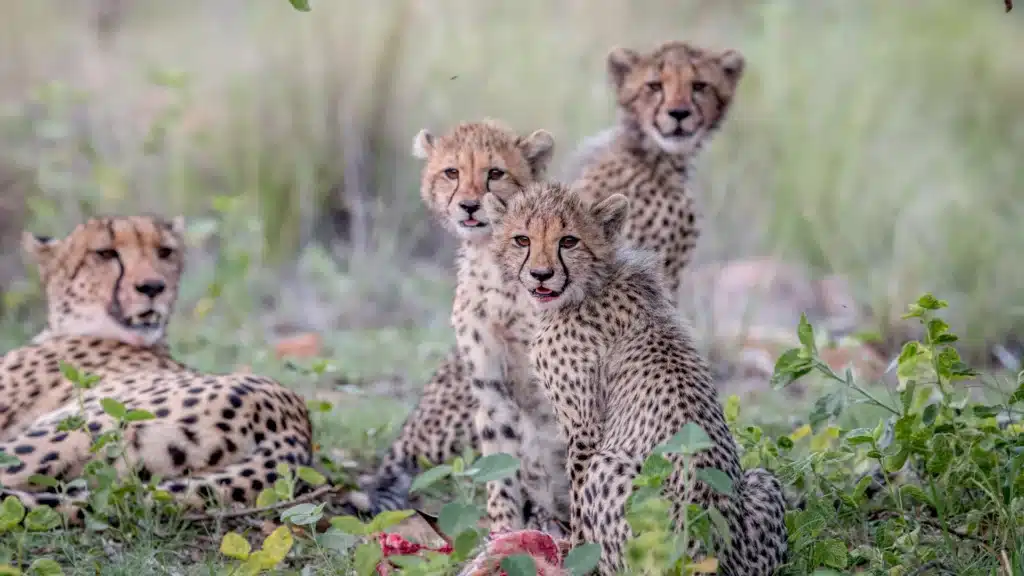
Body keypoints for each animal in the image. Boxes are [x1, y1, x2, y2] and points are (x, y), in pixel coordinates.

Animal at [483, 182, 788, 576]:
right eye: (522, 240)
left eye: (569, 241)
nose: (540, 274)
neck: (592, 282)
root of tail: (713, 557)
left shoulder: (584, 428)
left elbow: (578, 499)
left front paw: (575, 554)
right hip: (762, 481)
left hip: (612, 468)